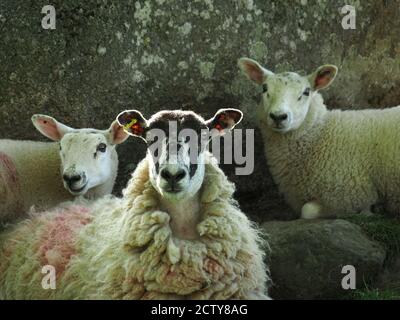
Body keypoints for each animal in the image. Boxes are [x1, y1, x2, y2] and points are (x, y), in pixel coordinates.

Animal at [239, 56, 400, 219]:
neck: (322, 134)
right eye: (264, 88)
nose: (278, 116)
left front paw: (371, 210)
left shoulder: (348, 196)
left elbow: (307, 211)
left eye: (306, 92)